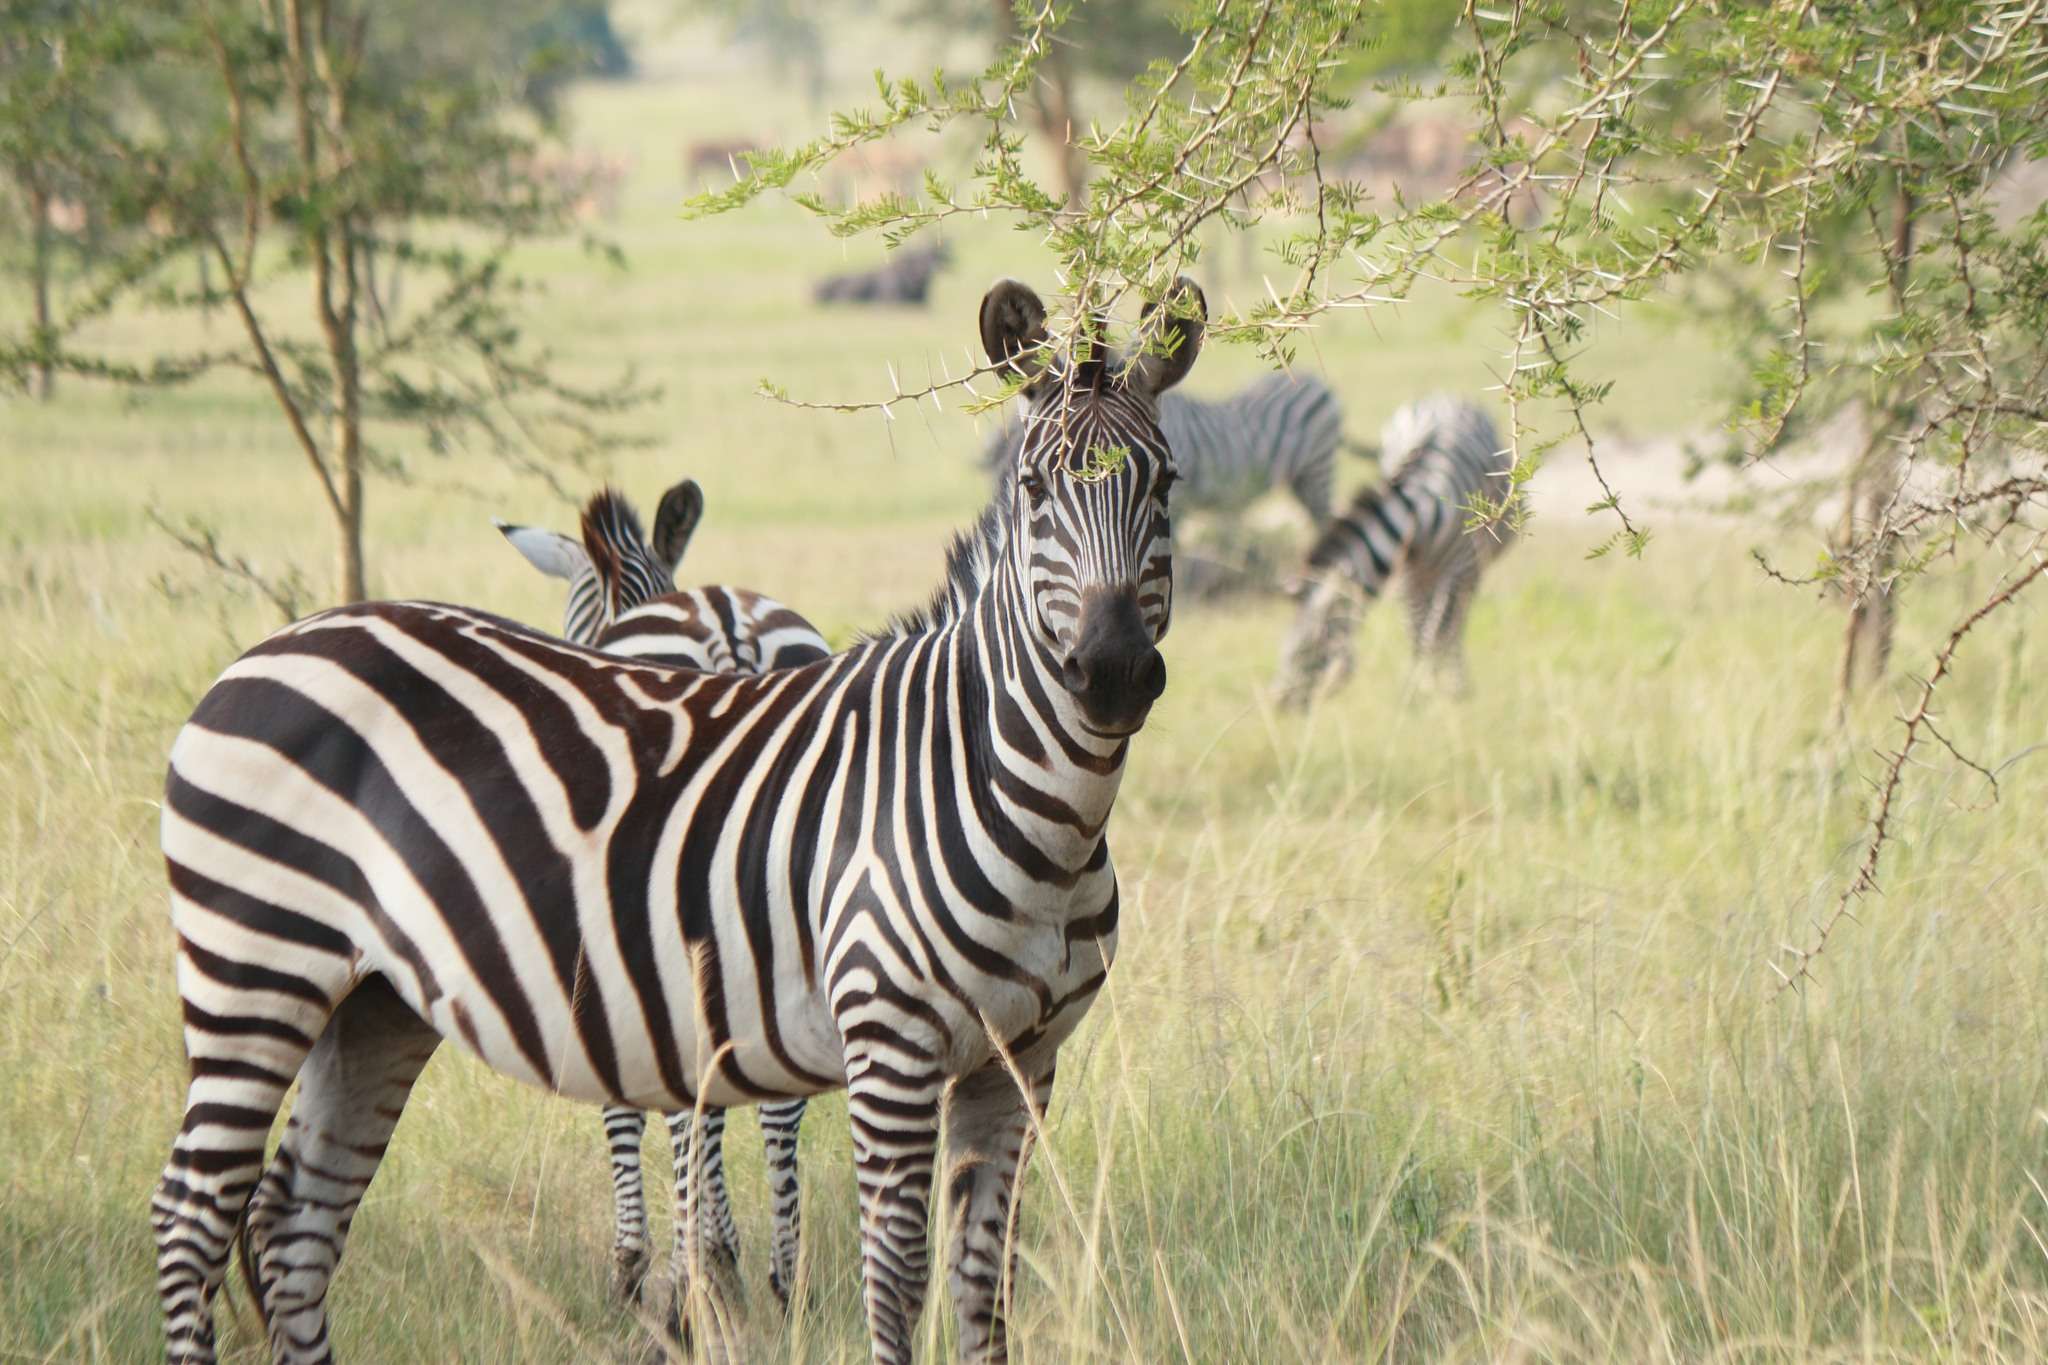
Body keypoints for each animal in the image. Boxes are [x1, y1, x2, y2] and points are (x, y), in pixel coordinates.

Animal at [497, 478, 831, 1314]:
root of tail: (726, 624)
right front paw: (717, 1248)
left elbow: (628, 1108)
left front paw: (639, 1261)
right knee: (777, 1100)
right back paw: (782, 1273)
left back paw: (688, 1284)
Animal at [1274, 394, 1517, 704]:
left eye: (1309, 646)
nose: (1279, 702)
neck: (1422, 512)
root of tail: (1442, 396)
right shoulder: (1406, 570)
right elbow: (1416, 631)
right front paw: (1419, 690)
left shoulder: (1460, 566)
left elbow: (1437, 633)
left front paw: (1443, 693)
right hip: (1424, 576)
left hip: (1468, 571)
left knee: (1454, 625)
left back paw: (1458, 683)